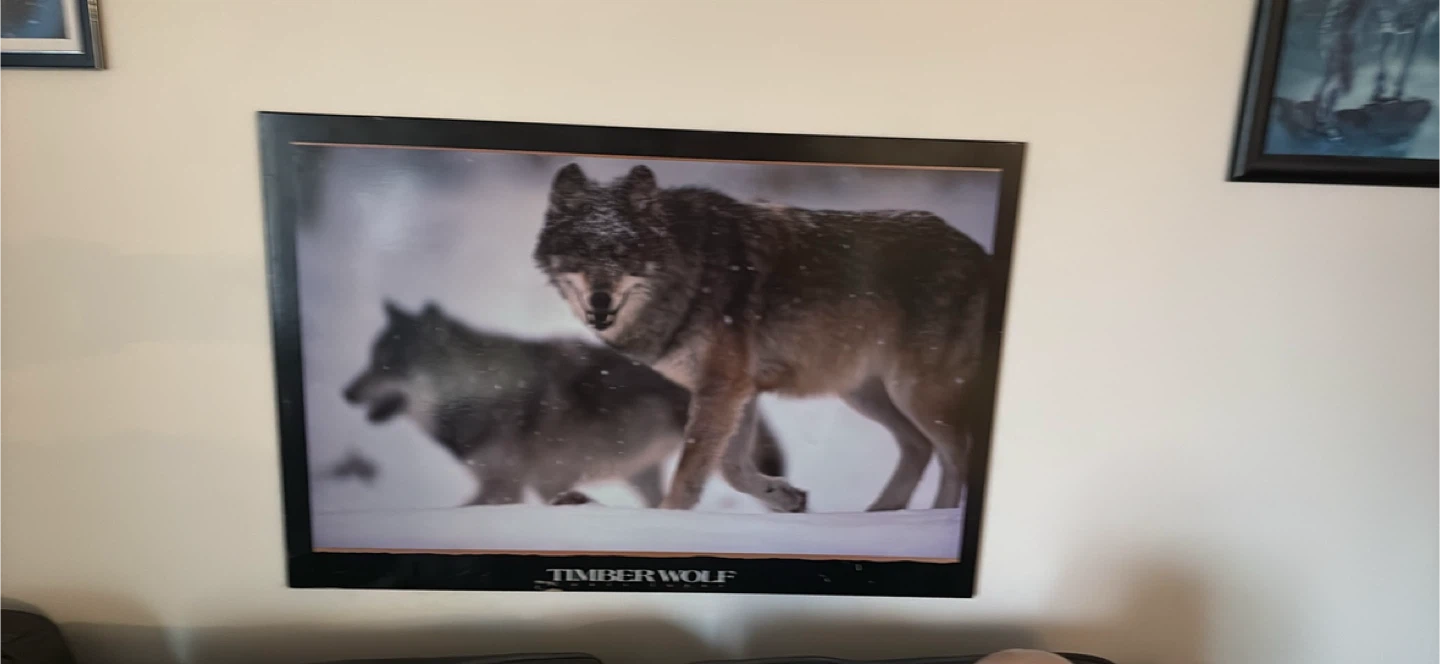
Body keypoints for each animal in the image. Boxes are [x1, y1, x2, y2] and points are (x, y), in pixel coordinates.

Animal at [342, 300, 786, 507]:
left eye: (390, 364)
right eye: (372, 358)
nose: (346, 393)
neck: (478, 394)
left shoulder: (505, 488)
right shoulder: (526, 486)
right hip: (637, 473)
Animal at [533, 163, 993, 513]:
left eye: (623, 254)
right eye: (582, 253)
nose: (600, 299)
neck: (690, 273)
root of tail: (979, 253)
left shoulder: (723, 387)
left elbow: (691, 472)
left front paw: (667, 523)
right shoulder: (739, 390)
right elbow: (730, 469)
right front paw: (783, 497)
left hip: (916, 393)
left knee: (956, 456)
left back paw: (934, 521)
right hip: (866, 394)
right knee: (919, 447)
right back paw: (881, 516)